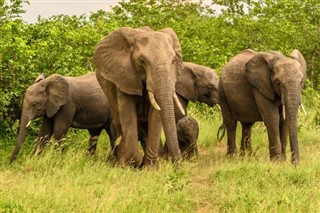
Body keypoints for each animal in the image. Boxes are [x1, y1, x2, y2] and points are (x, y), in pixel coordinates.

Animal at [92, 26, 185, 166]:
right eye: (142, 61)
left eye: (174, 61)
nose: (177, 166)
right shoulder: (124, 75)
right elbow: (128, 115)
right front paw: (132, 163)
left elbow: (156, 115)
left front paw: (149, 167)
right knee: (120, 124)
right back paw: (121, 160)